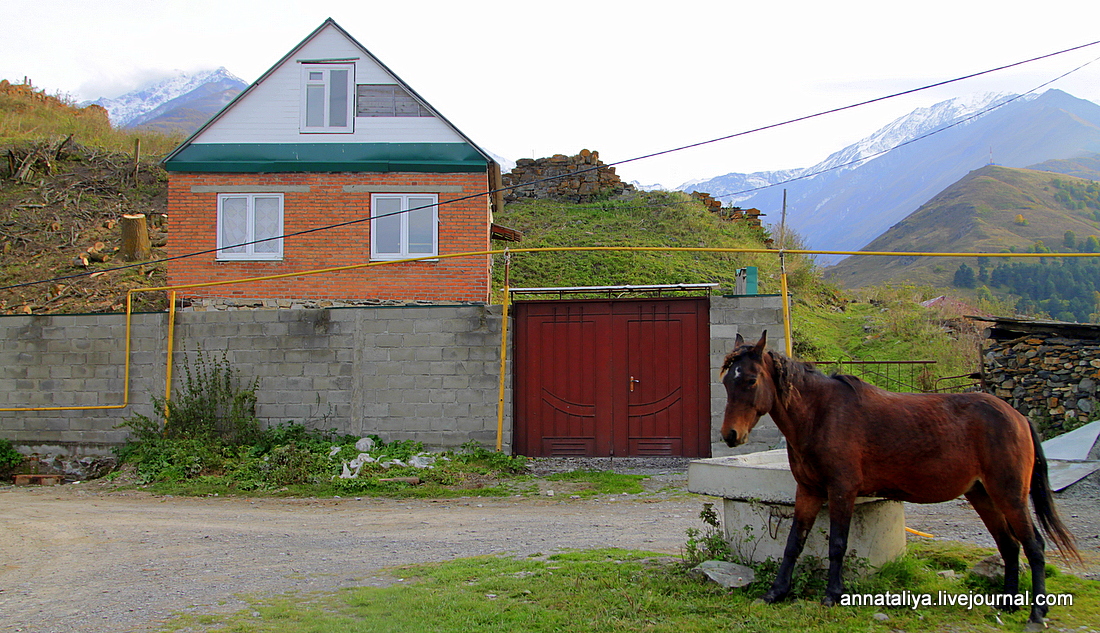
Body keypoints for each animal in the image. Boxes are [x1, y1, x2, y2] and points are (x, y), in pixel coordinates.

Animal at [717, 332, 1078, 625]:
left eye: (751, 380)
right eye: (726, 382)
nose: (730, 435)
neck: (822, 414)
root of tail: (1018, 417)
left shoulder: (841, 491)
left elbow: (837, 544)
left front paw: (833, 595)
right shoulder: (808, 491)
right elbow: (794, 543)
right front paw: (776, 592)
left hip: (1010, 495)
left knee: (1034, 546)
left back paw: (1036, 613)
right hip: (983, 494)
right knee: (1009, 545)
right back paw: (1008, 604)